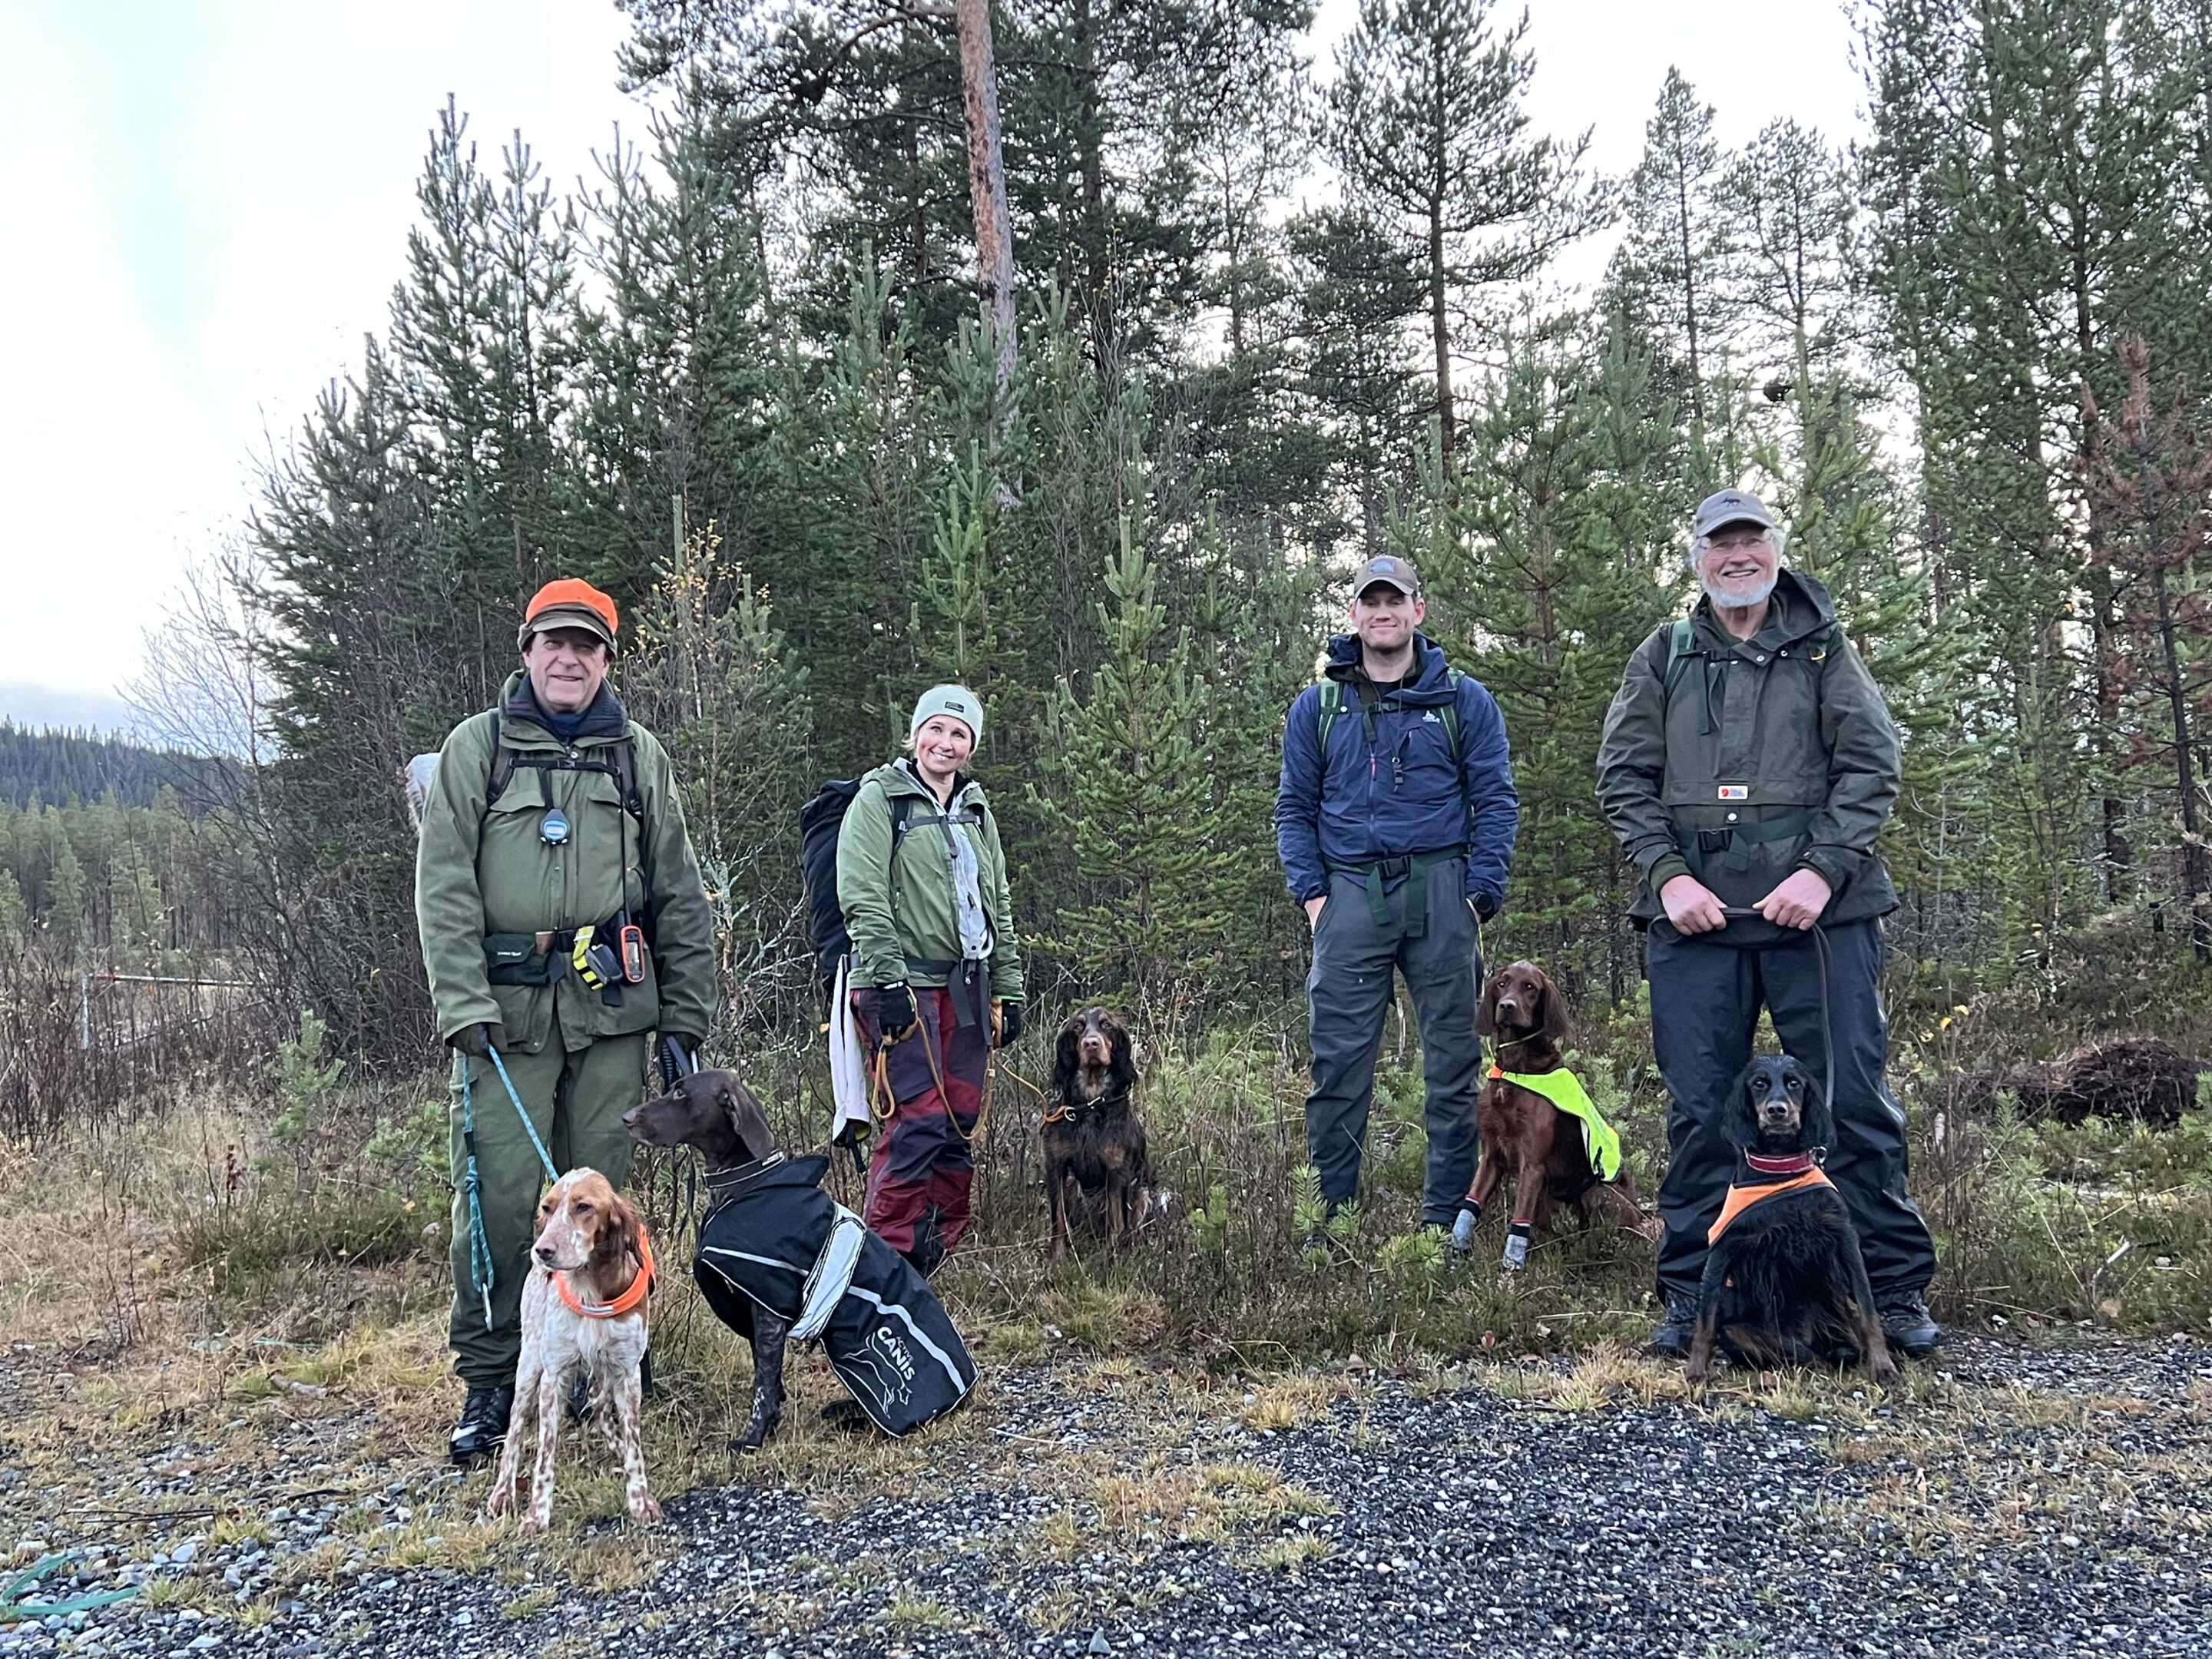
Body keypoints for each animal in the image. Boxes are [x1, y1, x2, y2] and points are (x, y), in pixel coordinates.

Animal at [1459, 959, 1654, 1273]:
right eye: (1502, 983)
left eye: (1530, 987)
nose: (1507, 1006)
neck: (1517, 1069)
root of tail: (1641, 1217)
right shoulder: (1491, 1155)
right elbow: (1470, 1204)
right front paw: (1455, 1253)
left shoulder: (1533, 1164)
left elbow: (1519, 1220)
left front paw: (1509, 1274)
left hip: (1598, 1193)